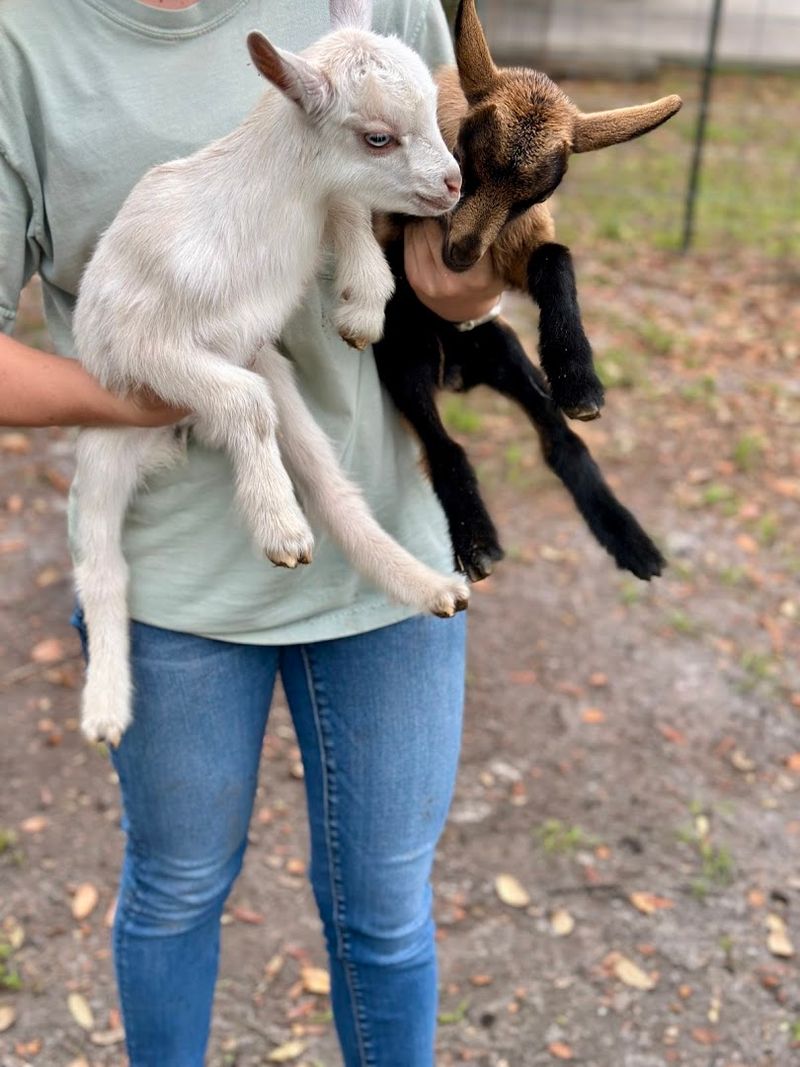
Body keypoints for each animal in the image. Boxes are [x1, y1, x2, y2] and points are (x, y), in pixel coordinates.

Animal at [373, 0, 677, 581]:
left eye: (535, 194)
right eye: (464, 157)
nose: (459, 257)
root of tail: (455, 372)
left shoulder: (514, 246)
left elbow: (556, 259)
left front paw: (578, 375)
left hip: (504, 352)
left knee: (562, 441)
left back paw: (631, 541)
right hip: (404, 363)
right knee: (445, 447)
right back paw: (478, 541)